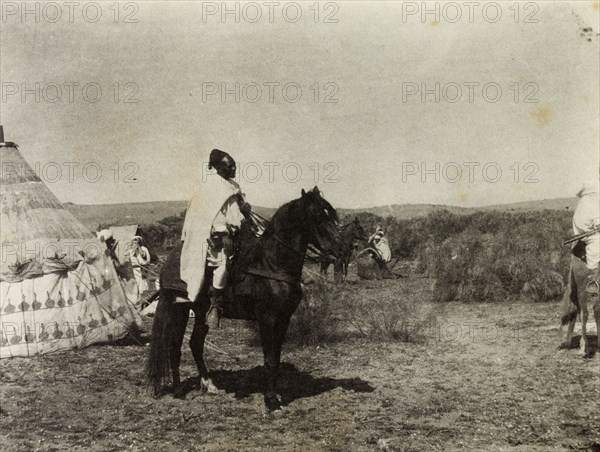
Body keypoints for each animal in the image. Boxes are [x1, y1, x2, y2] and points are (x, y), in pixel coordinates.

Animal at [146, 186, 342, 410]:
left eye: (331, 214)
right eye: (317, 216)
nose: (341, 248)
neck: (272, 264)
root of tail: (169, 260)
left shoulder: (284, 319)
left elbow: (276, 358)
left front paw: (274, 396)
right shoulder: (267, 319)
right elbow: (269, 360)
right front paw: (271, 400)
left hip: (201, 312)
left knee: (195, 344)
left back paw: (210, 385)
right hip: (179, 309)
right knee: (174, 347)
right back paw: (179, 390)